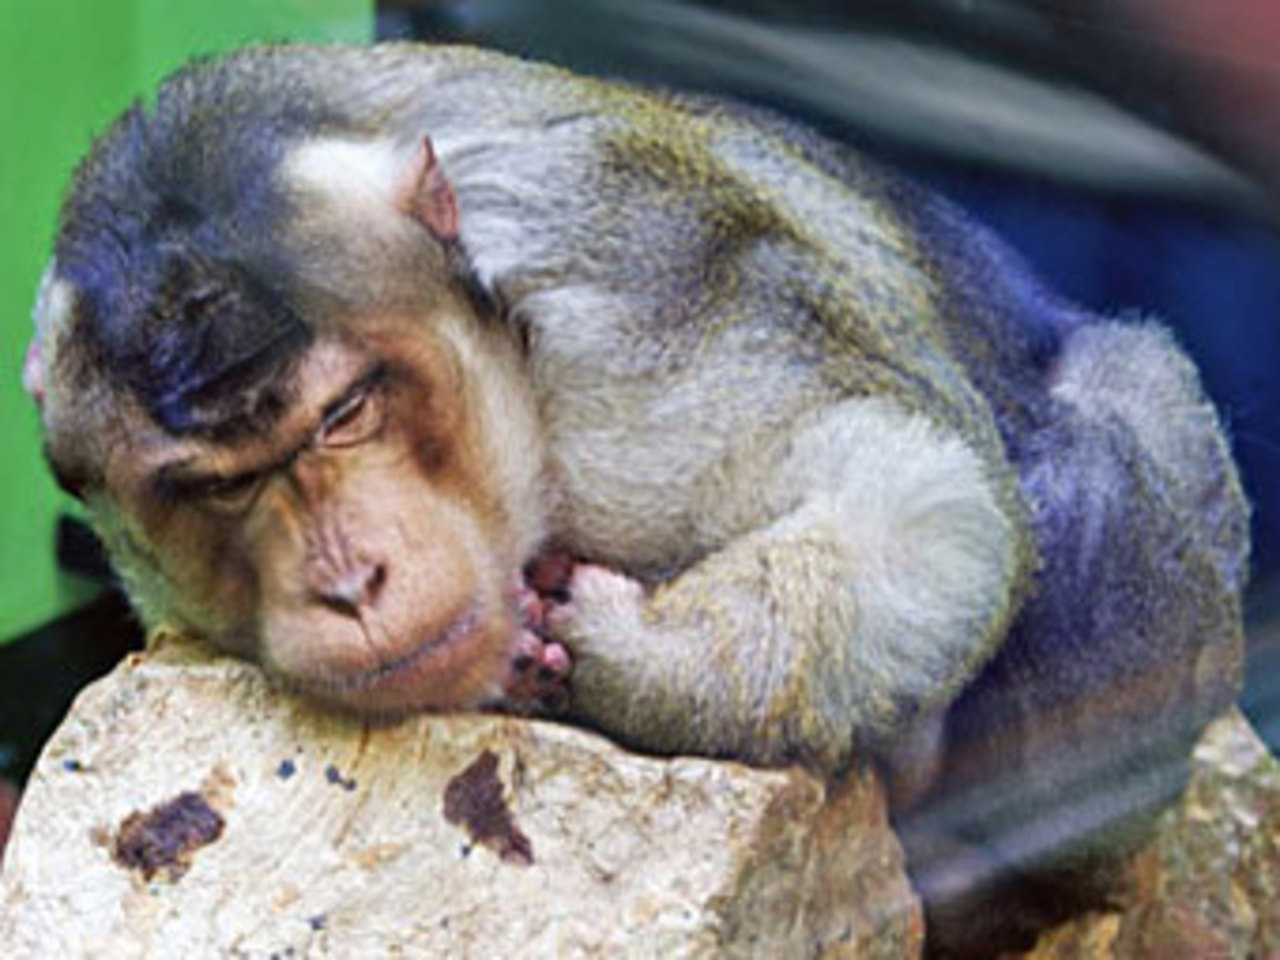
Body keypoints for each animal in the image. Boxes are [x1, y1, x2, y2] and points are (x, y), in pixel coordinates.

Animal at [24, 43, 1248, 956]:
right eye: (225, 484)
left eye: (344, 414)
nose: (348, 580)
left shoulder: (630, 317)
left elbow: (929, 506)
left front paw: (629, 655)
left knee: (1081, 457)